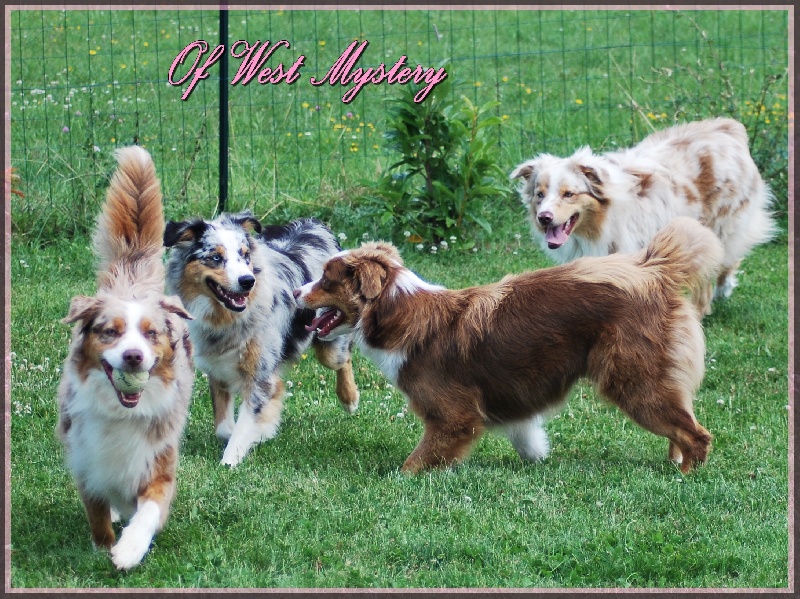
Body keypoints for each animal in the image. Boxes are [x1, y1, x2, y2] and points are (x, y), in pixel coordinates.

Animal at [57, 146, 195, 572]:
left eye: (151, 334)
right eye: (110, 332)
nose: (134, 357)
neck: (122, 412)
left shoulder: (160, 460)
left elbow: (149, 511)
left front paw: (130, 549)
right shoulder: (86, 457)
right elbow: (97, 511)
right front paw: (104, 544)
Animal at [164, 213, 358, 466]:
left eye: (245, 255)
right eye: (216, 257)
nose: (248, 281)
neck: (227, 319)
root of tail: (315, 223)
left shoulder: (260, 375)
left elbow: (246, 422)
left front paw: (230, 461)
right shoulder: (216, 368)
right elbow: (225, 428)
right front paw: (257, 434)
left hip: (330, 346)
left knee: (343, 357)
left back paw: (349, 399)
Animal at [298, 218, 724, 476]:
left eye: (326, 279)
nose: (296, 291)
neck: (396, 310)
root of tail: (654, 270)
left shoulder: (452, 417)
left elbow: (414, 463)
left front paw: (401, 478)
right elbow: (526, 435)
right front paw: (537, 459)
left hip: (633, 381)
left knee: (697, 435)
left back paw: (686, 476)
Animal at [510, 116, 780, 314]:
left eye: (569, 194)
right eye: (540, 194)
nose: (544, 218)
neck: (601, 223)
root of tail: (728, 128)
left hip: (722, 224)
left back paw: (713, 298)